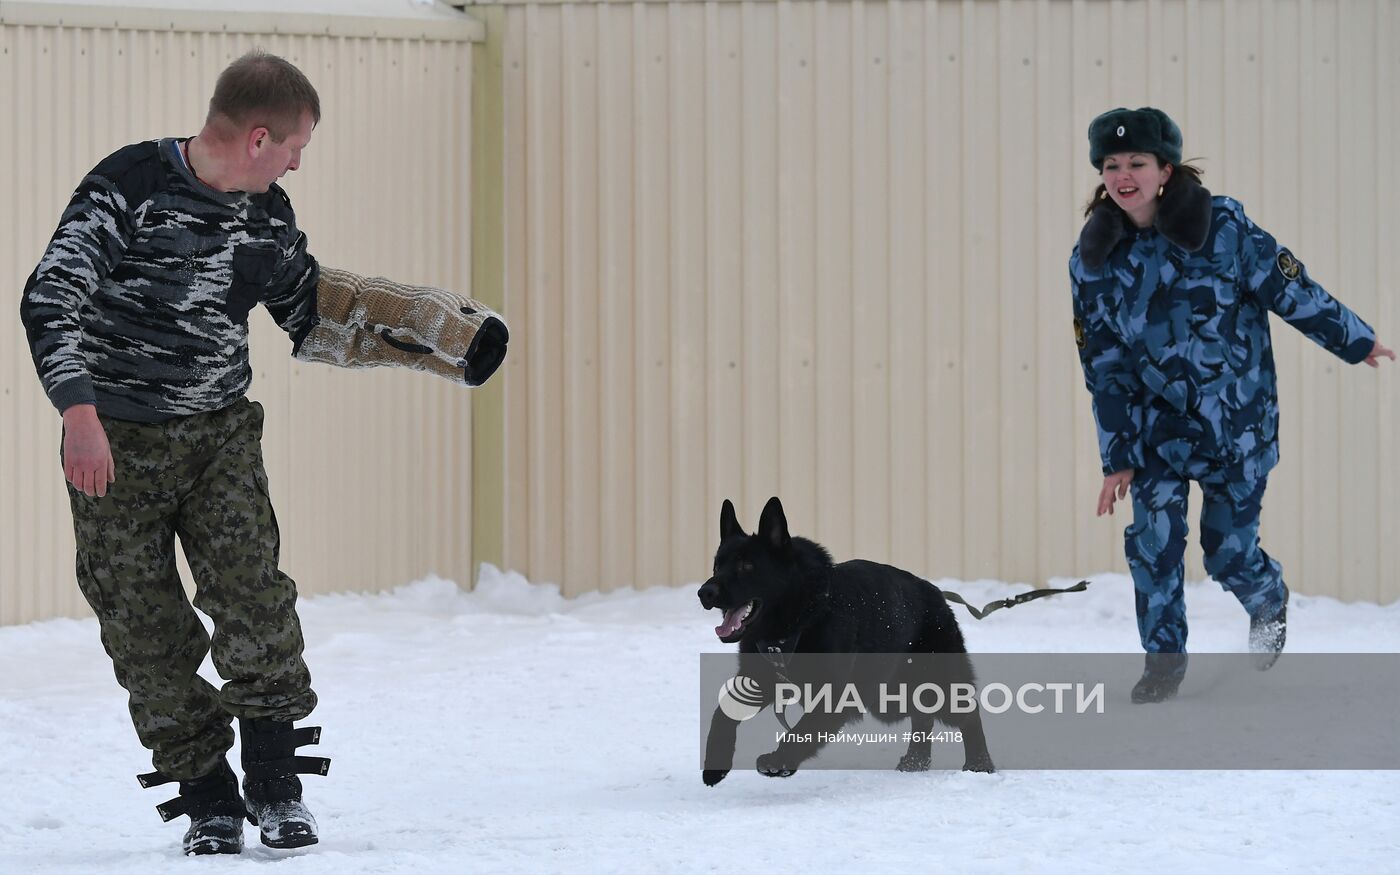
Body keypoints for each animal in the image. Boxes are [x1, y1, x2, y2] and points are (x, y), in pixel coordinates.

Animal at [700, 492, 996, 784]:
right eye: (716, 565)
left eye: (747, 565)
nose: (704, 593)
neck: (800, 618)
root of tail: (938, 595)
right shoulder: (758, 679)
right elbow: (722, 713)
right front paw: (716, 765)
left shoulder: (833, 696)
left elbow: (802, 731)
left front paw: (780, 761)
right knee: (923, 717)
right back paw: (916, 761)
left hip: (936, 680)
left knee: (968, 715)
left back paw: (979, 765)